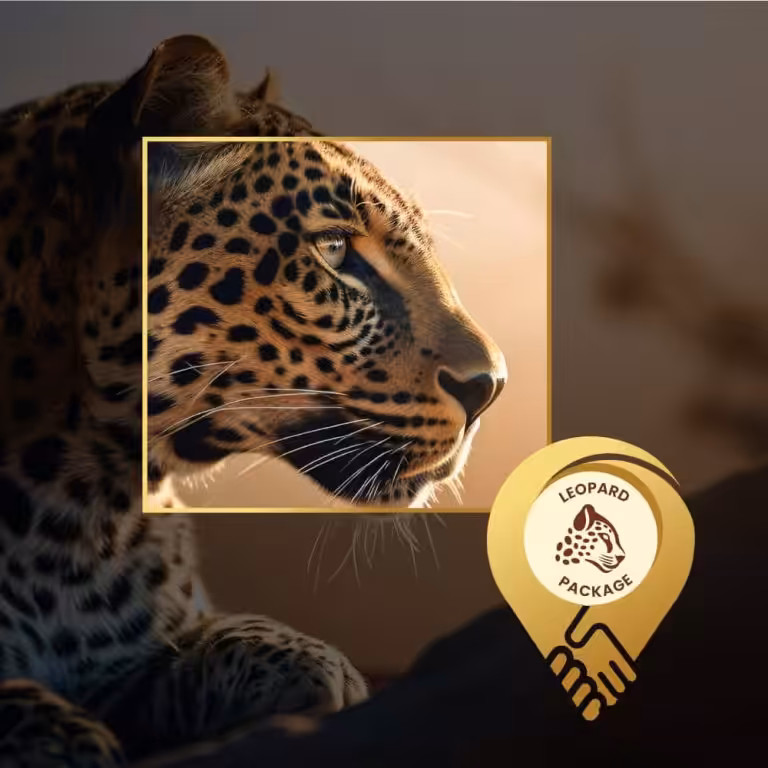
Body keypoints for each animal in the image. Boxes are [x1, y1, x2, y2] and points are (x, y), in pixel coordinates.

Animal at [0, 35, 506, 766]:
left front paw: (318, 664)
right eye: (334, 250)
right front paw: (58, 738)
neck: (82, 507)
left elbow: (203, 639)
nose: (491, 386)